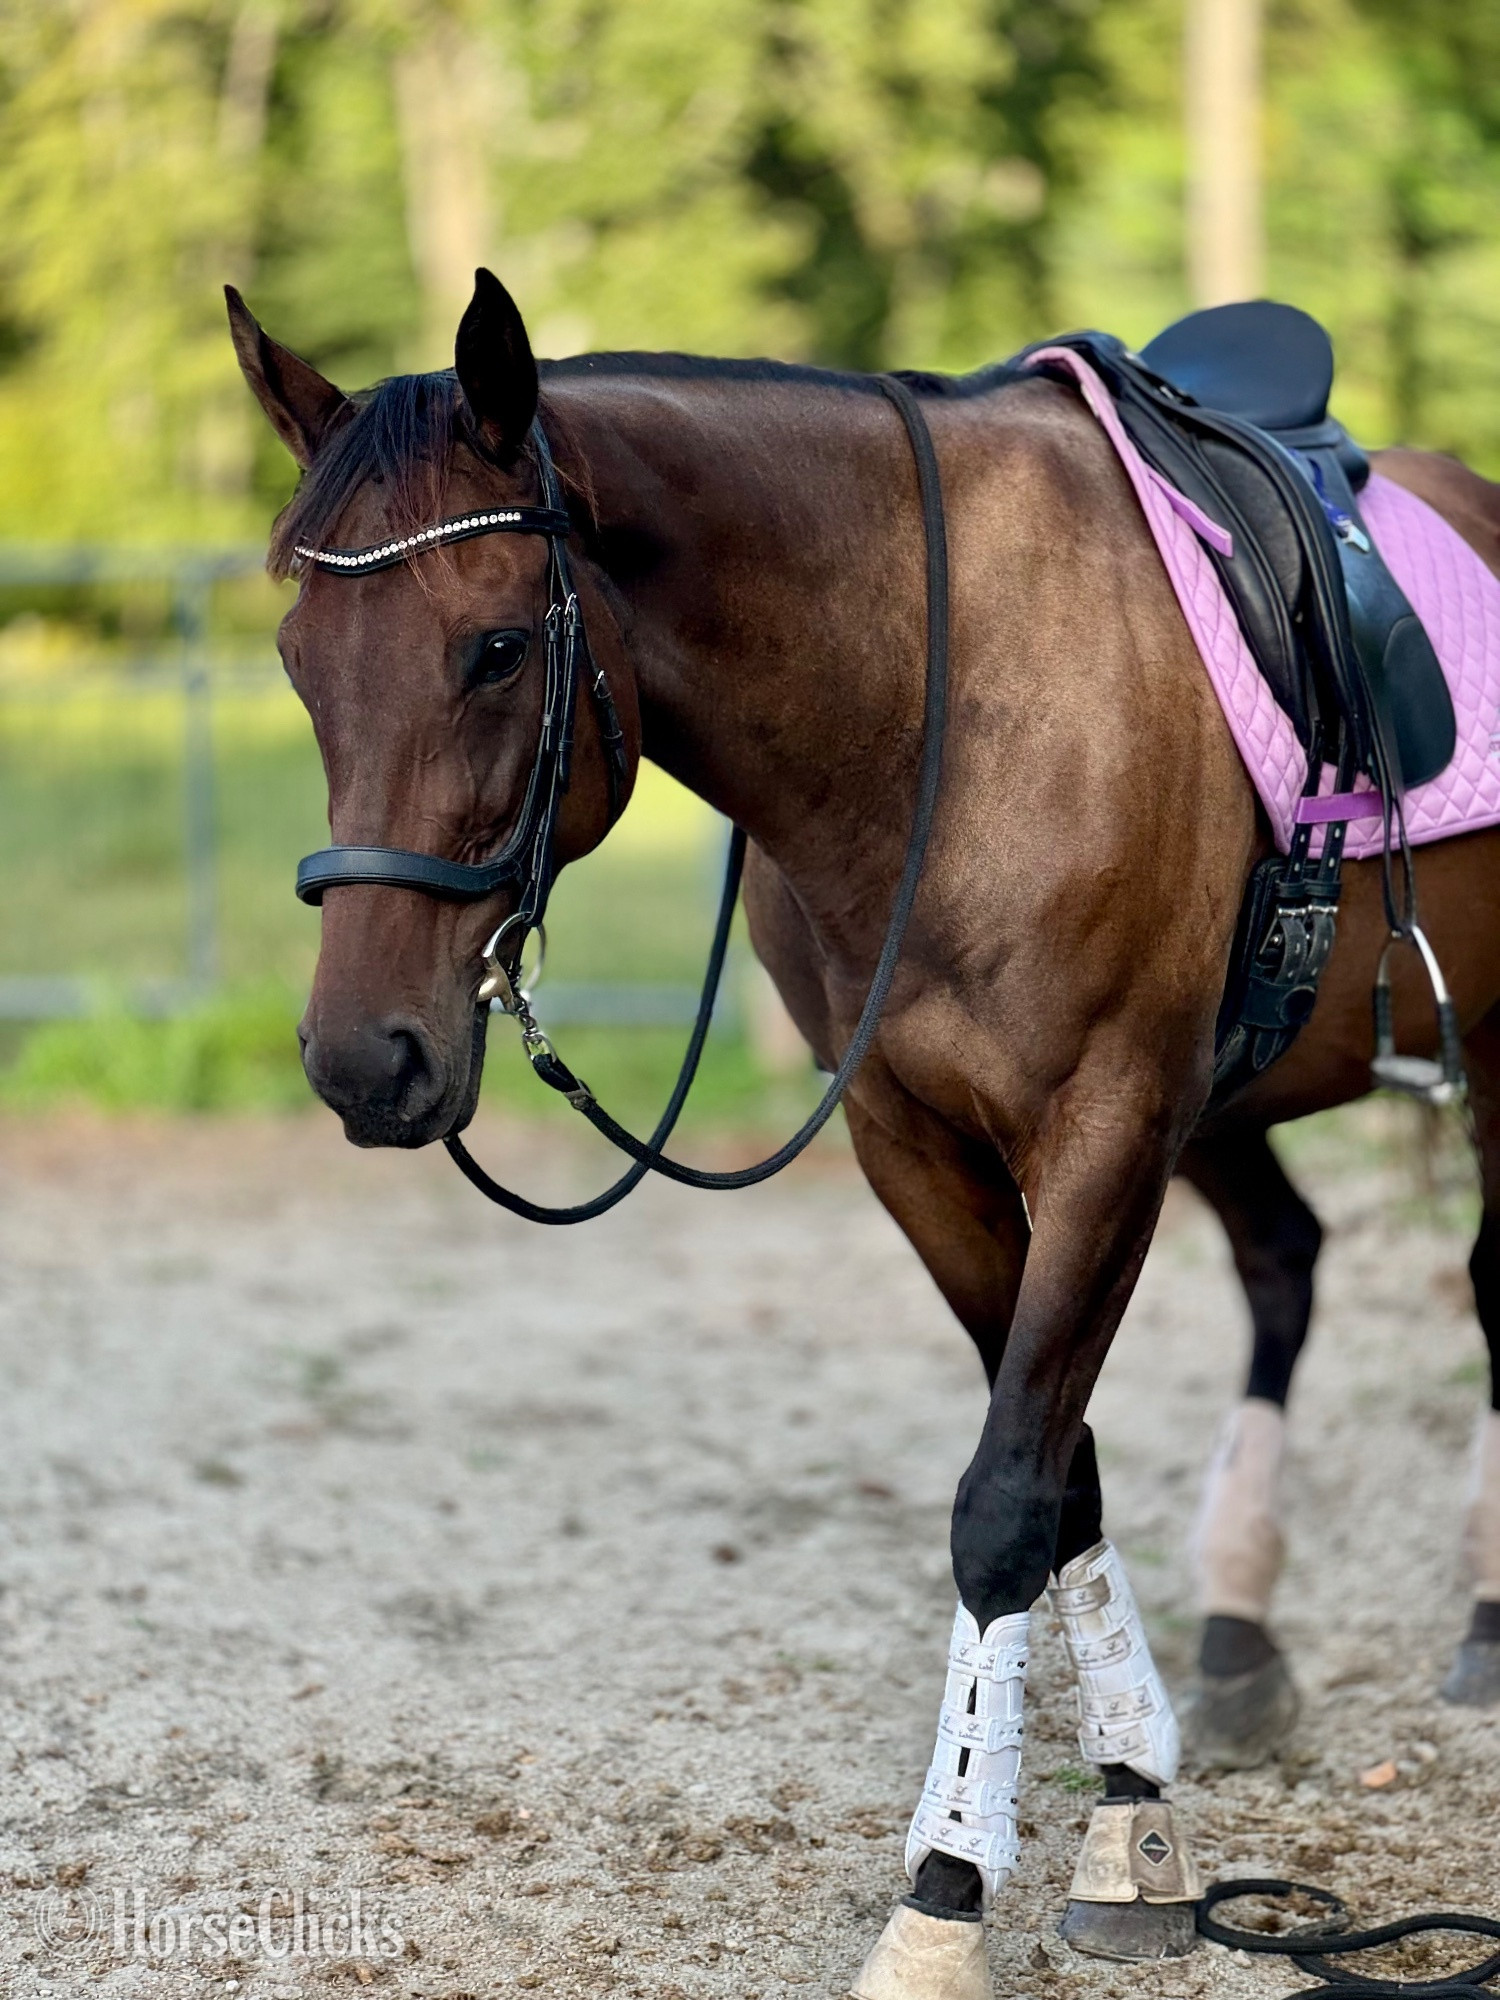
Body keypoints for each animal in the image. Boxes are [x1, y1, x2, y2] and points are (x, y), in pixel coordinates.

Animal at [227, 270, 1500, 2000]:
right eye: (299, 657)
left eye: (493, 649)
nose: (367, 1060)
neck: (933, 721)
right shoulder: (917, 1146)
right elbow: (1064, 1478)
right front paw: (1135, 1813)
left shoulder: (1106, 1126)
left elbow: (1005, 1500)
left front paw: (951, 1891)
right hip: (1226, 1098)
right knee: (1287, 1265)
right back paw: (1243, 1636)